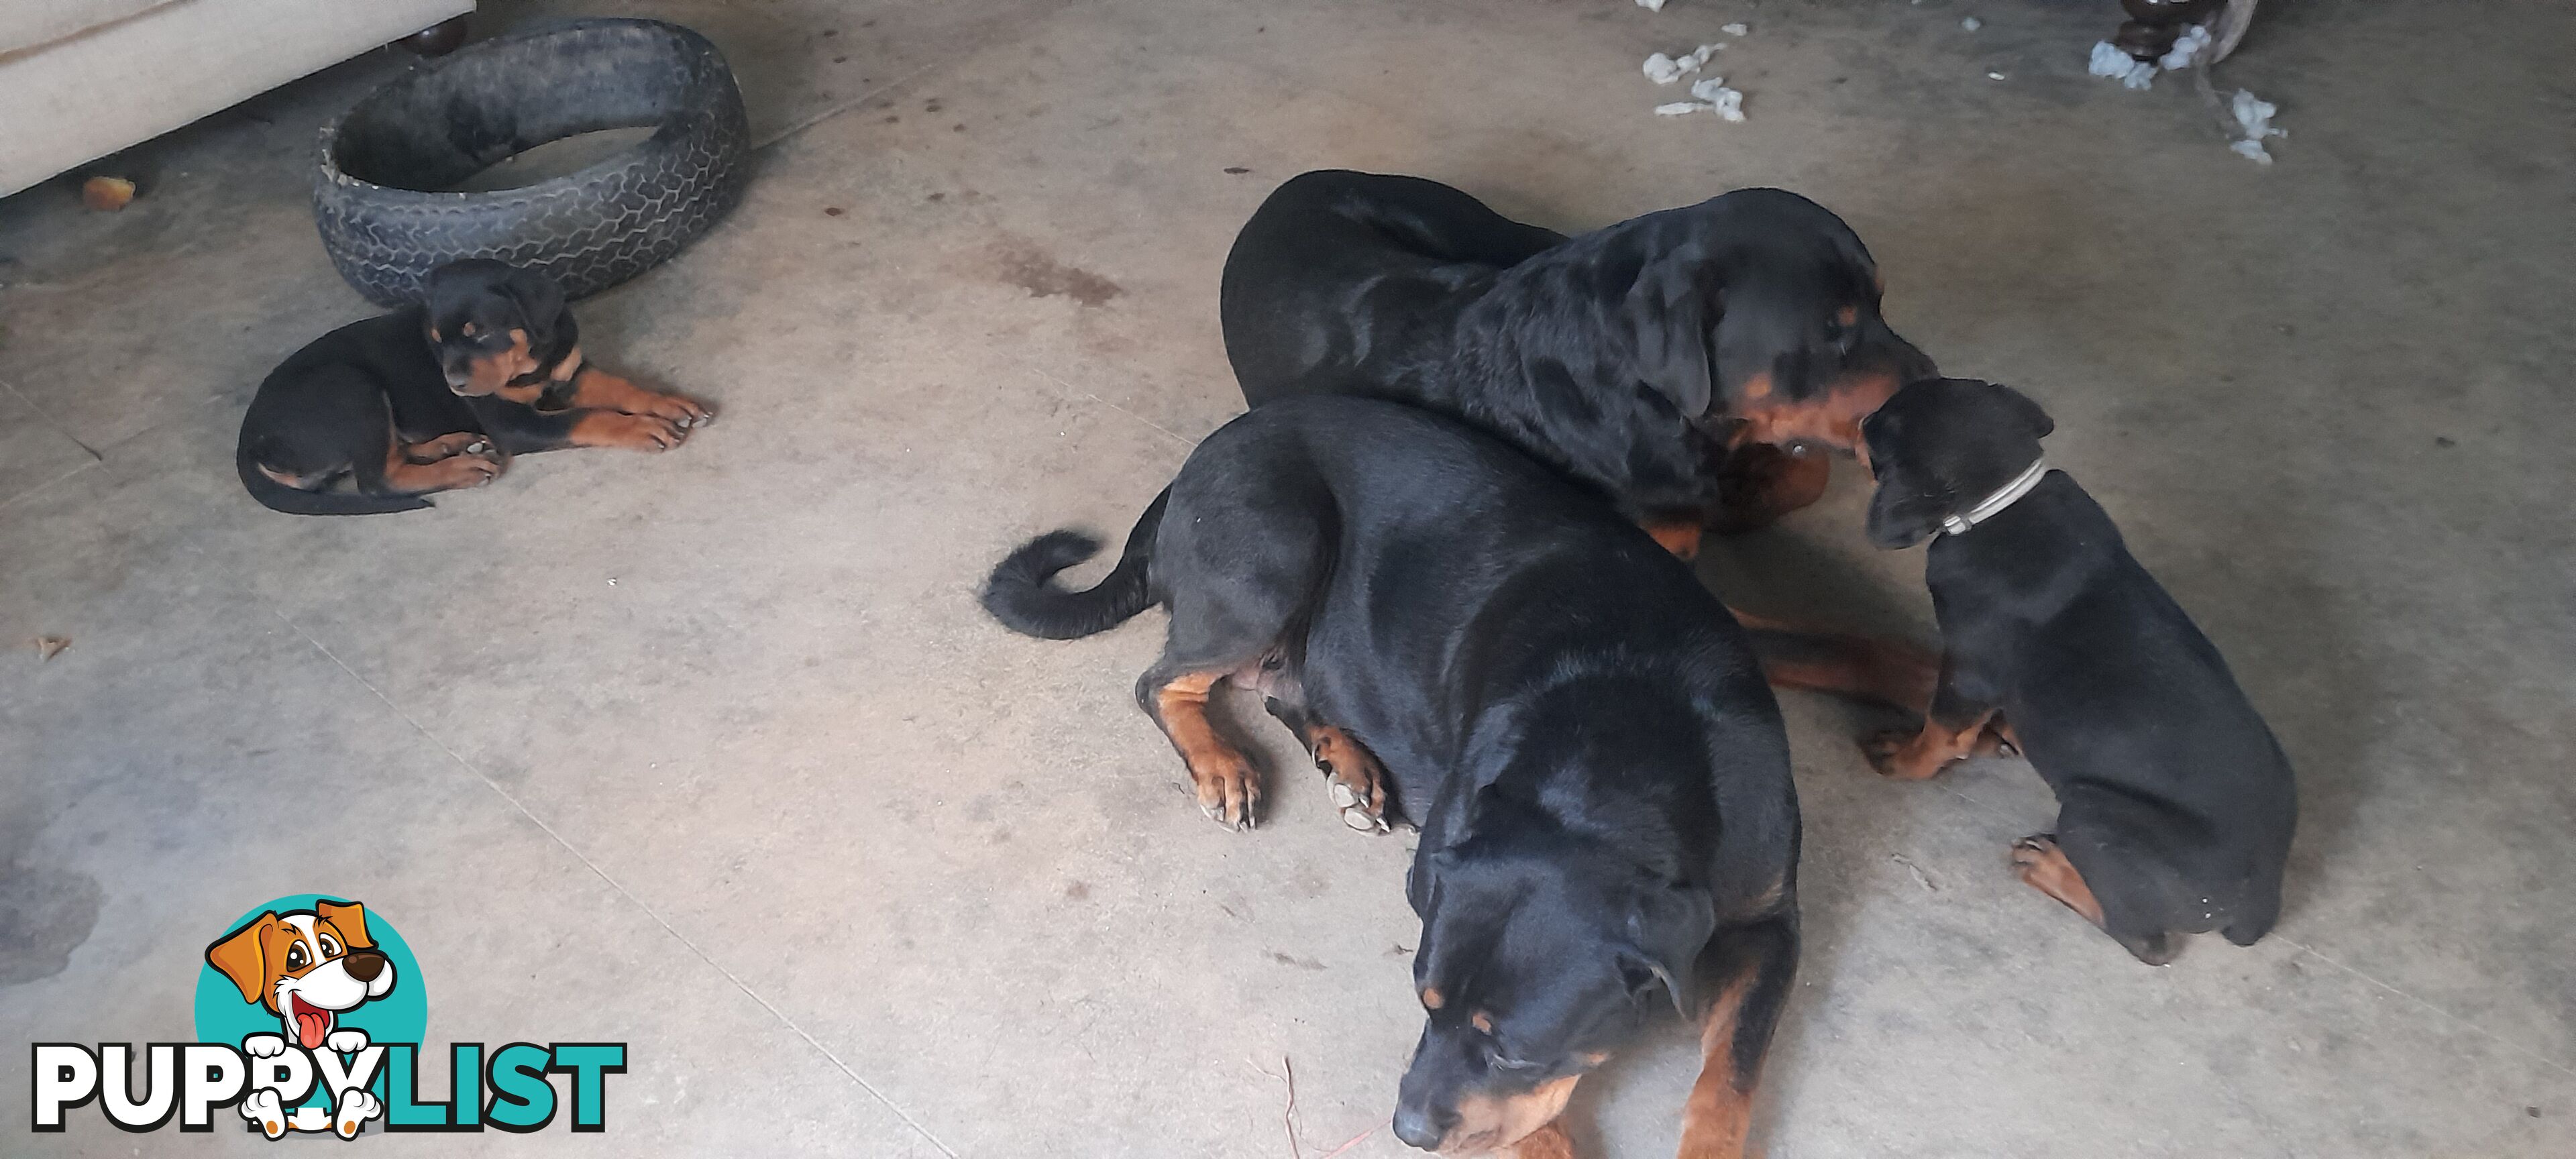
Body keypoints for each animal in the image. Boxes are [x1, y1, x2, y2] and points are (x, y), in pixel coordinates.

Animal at [238, 265, 710, 517]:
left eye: (479, 332)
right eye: (437, 340)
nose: (456, 384)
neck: (531, 363)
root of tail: (247, 438)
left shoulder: (570, 371)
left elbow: (619, 386)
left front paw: (667, 403)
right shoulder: (514, 424)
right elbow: (590, 417)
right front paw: (643, 429)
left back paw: (452, 446)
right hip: (349, 386)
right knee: (376, 478)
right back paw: (462, 468)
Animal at [973, 399, 1803, 1159]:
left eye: (1513, 1050)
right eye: (1422, 1003)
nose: (1408, 1132)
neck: (1624, 740)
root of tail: (1200, 458)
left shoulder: (1771, 921)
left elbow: (1731, 1072)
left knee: (1282, 687)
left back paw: (1349, 765)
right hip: (1278, 546)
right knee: (1164, 683)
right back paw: (1224, 765)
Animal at [1221, 171, 1937, 548]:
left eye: (1881, 303)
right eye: (1832, 334)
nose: (1932, 380)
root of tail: (1288, 188)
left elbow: (1804, 466)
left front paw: (1753, 485)